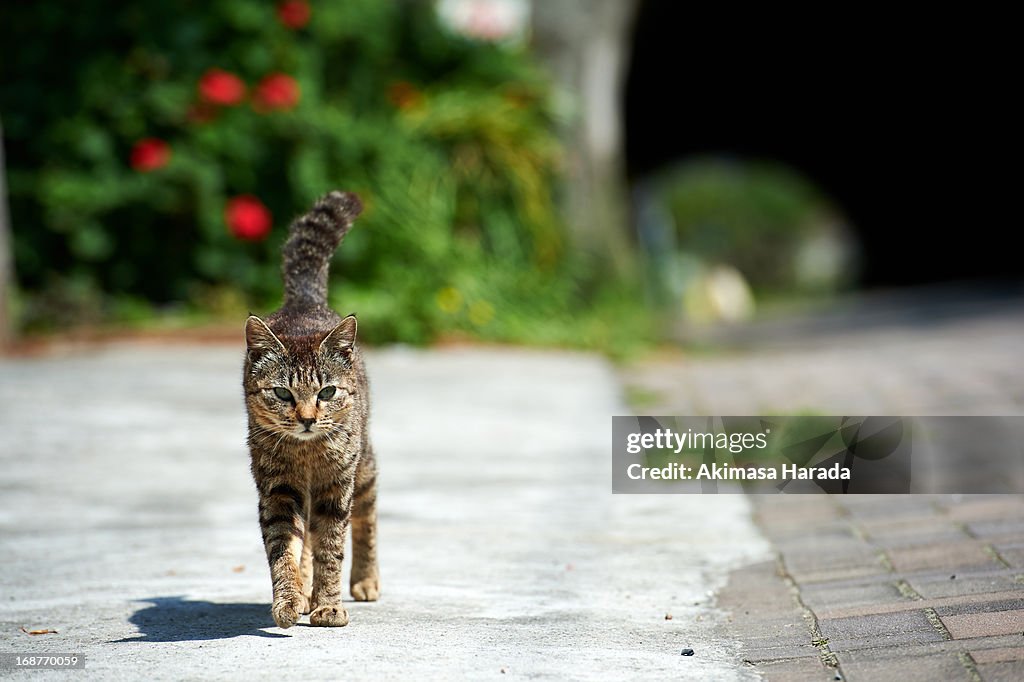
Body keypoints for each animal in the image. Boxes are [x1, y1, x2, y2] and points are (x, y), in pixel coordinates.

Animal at [241, 189, 378, 626]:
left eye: (327, 392)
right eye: (283, 394)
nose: (306, 418)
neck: (307, 453)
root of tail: (304, 300)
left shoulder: (337, 489)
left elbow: (331, 549)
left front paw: (329, 604)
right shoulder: (277, 490)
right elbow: (284, 549)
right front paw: (289, 599)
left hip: (363, 466)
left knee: (367, 515)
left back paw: (365, 581)